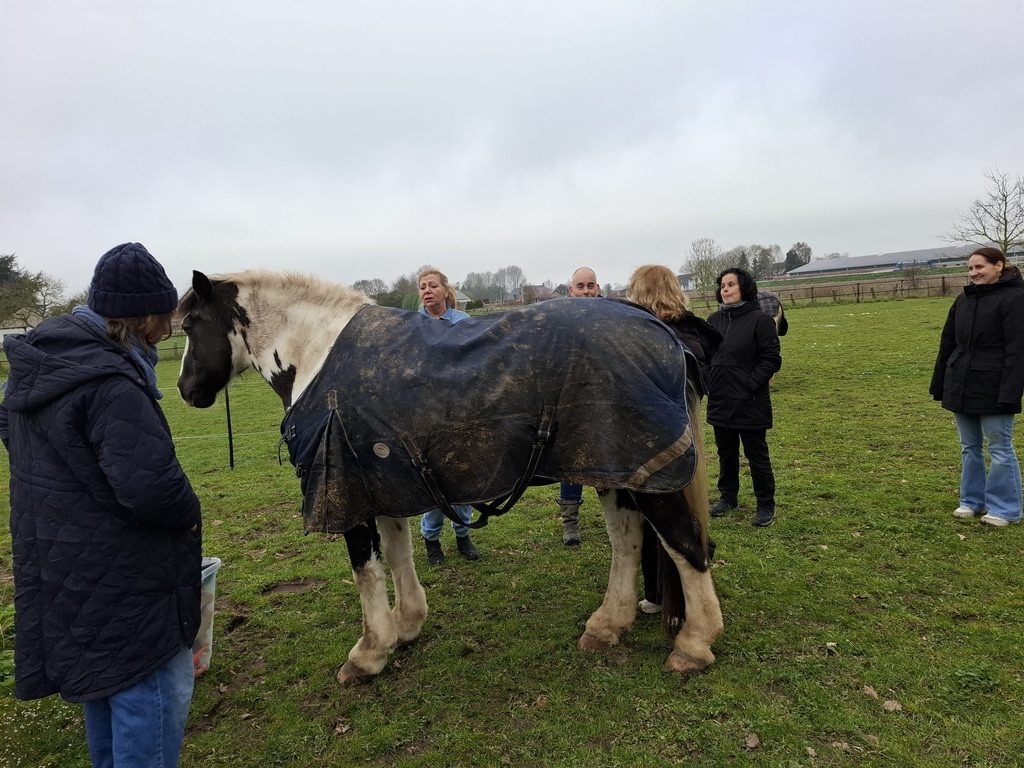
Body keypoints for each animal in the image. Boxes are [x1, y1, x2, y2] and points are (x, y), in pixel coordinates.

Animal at [176, 270, 723, 684]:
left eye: (190, 323)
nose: (185, 390)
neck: (317, 355)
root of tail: (660, 331)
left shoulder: (346, 496)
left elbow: (366, 571)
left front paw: (369, 653)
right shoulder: (383, 484)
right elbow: (398, 555)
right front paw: (406, 627)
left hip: (653, 479)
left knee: (686, 547)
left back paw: (694, 646)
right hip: (616, 470)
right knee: (627, 541)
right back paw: (607, 626)